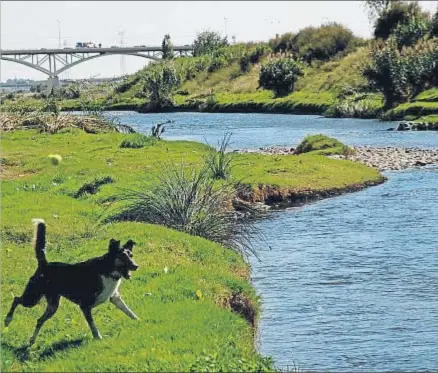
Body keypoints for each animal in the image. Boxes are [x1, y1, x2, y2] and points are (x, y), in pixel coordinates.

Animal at [4, 218, 139, 346]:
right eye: (122, 257)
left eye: (131, 255)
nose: (136, 266)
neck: (107, 269)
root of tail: (45, 264)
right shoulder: (85, 306)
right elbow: (93, 326)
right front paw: (98, 338)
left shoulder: (115, 297)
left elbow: (129, 311)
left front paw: (139, 322)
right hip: (32, 298)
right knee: (16, 299)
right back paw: (7, 320)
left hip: (52, 306)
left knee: (39, 320)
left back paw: (32, 340)